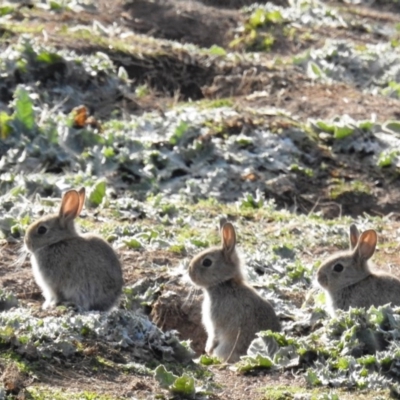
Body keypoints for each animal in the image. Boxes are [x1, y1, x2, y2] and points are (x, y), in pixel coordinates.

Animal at [188, 220, 280, 364]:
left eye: (207, 262)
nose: (189, 271)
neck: (224, 283)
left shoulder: (216, 321)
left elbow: (214, 335)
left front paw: (208, 349)